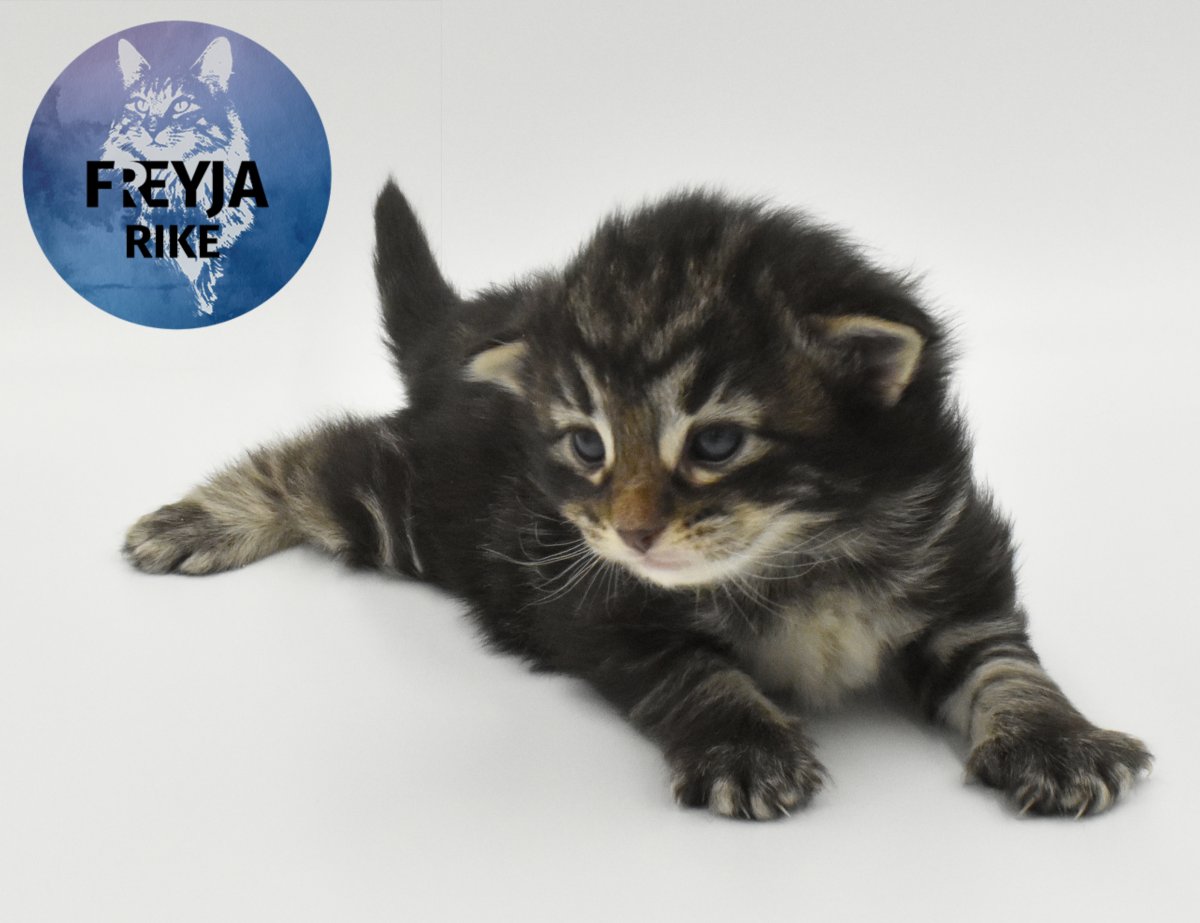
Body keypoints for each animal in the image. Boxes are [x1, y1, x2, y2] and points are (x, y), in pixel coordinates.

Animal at [124, 182, 1151, 820]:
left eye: (717, 443)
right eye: (588, 445)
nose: (632, 528)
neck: (805, 551)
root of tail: (481, 322)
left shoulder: (957, 568)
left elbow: (1007, 663)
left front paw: (1059, 740)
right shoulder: (601, 603)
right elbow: (695, 674)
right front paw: (745, 747)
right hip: (420, 503)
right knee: (321, 458)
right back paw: (193, 519)